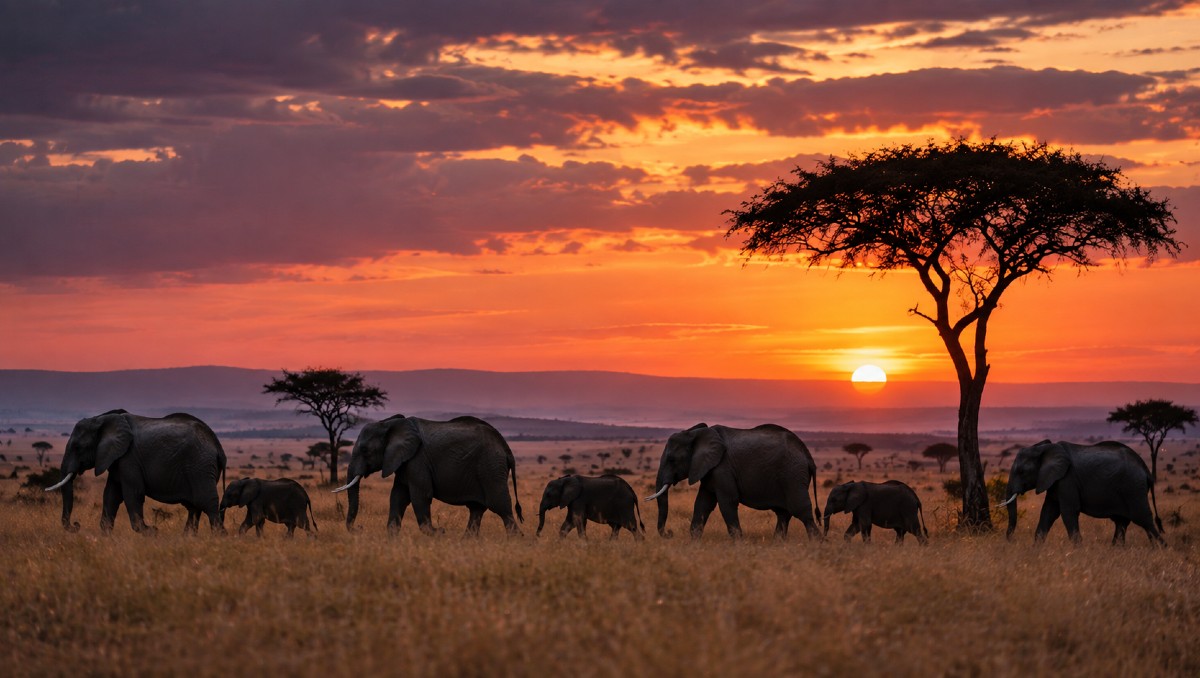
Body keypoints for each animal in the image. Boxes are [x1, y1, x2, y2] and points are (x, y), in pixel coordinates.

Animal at [45, 410, 227, 534]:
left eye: (78, 447)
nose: (76, 525)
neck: (102, 419)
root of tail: (217, 445)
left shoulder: (129, 458)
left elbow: (133, 494)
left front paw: (152, 532)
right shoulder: (117, 460)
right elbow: (111, 495)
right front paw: (106, 536)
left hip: (200, 465)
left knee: (207, 502)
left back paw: (219, 538)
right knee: (194, 507)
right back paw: (188, 538)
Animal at [333, 414, 523, 536]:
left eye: (365, 450)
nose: (359, 528)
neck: (390, 424)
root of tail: (506, 448)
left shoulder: (418, 460)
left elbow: (420, 496)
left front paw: (439, 533)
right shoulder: (404, 462)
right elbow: (397, 496)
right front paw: (393, 539)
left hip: (490, 467)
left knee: (500, 505)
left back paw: (515, 541)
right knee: (477, 509)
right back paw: (466, 542)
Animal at [645, 423, 821, 540]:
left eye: (671, 460)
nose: (669, 533)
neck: (695, 433)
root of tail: (807, 456)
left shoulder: (723, 468)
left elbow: (727, 502)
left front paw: (738, 545)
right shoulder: (709, 470)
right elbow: (703, 503)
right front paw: (694, 543)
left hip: (793, 474)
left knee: (801, 511)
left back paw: (817, 545)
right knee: (783, 514)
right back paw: (777, 544)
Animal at [999, 439, 1165, 546]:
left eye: (1021, 472)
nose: (1010, 540)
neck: (1044, 448)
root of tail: (1145, 470)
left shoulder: (1067, 479)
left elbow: (1068, 512)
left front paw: (1078, 550)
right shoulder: (1055, 481)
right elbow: (1048, 512)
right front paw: (1036, 549)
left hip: (1133, 487)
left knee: (1143, 518)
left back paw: (1160, 549)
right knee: (1122, 521)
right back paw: (1116, 549)